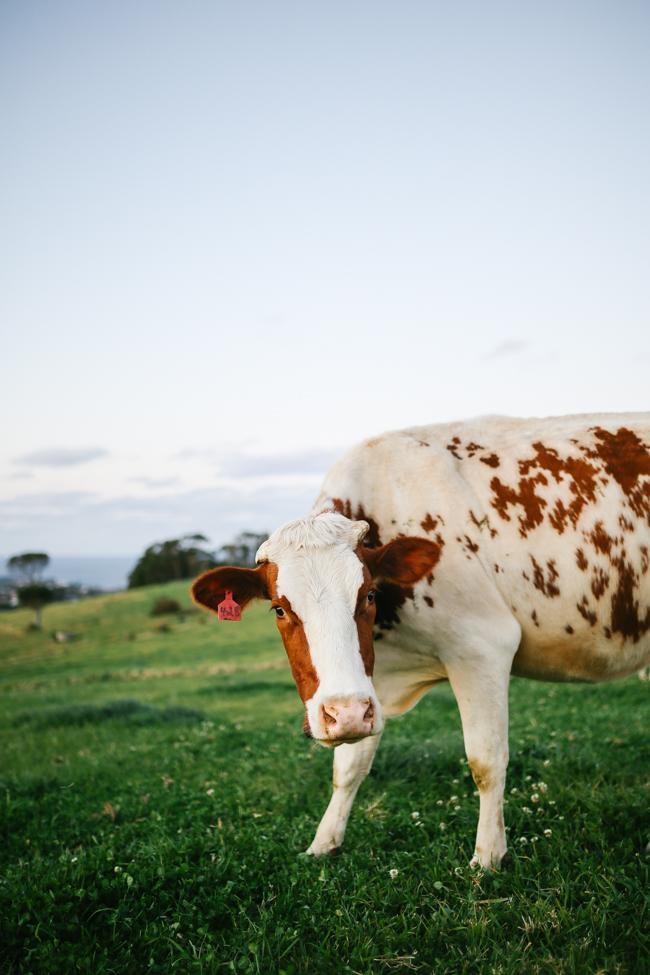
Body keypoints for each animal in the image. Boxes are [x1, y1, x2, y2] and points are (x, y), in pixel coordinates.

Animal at [192, 414, 650, 868]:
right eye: (279, 609)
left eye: (368, 594)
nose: (345, 714)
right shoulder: (366, 682)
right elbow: (349, 766)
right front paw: (324, 843)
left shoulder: (482, 647)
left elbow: (486, 760)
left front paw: (488, 855)